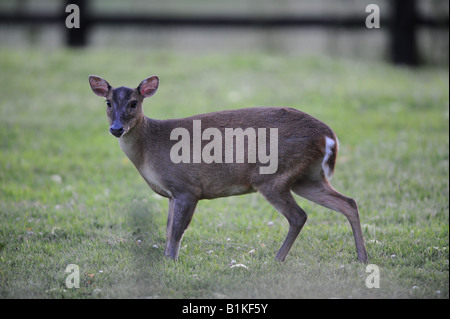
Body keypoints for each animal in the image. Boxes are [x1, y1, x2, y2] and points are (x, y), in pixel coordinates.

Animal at [89, 75, 370, 264]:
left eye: (133, 103)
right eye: (108, 103)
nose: (116, 128)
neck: (150, 147)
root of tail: (329, 136)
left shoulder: (188, 188)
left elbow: (177, 231)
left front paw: (170, 262)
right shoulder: (171, 194)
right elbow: (168, 229)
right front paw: (167, 260)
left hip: (272, 176)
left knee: (299, 216)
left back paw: (276, 260)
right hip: (307, 178)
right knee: (348, 202)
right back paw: (362, 257)